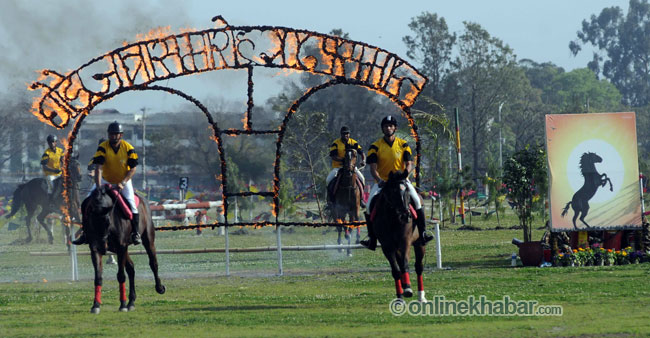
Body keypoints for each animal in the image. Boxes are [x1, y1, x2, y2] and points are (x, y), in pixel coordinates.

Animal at [82, 185, 165, 314]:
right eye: (91, 220)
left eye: (107, 221)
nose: (102, 245)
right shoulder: (95, 249)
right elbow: (98, 277)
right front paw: (96, 305)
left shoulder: (121, 246)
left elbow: (121, 275)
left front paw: (122, 304)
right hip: (118, 249)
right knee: (131, 268)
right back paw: (131, 302)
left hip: (147, 240)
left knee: (153, 263)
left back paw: (159, 288)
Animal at [372, 172, 428, 302]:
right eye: (393, 192)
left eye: (407, 191)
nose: (406, 215)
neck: (393, 218)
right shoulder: (387, 246)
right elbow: (396, 270)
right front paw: (400, 296)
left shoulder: (405, 241)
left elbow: (404, 263)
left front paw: (407, 288)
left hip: (419, 243)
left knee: (419, 267)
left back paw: (421, 296)